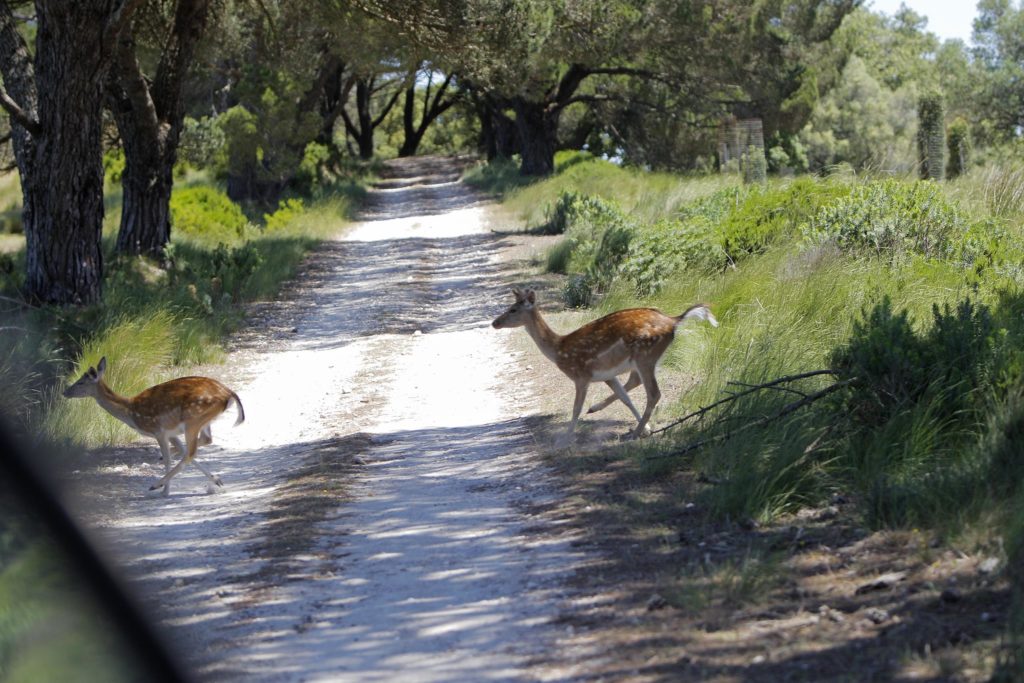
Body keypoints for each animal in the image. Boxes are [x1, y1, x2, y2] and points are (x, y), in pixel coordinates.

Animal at [63, 358, 243, 497]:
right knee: (203, 442)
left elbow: (171, 458)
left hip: (193, 419)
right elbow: (180, 451)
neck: (130, 412)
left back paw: (156, 484)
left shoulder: (158, 430)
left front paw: (165, 491)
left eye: (81, 382)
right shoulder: (171, 433)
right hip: (202, 421)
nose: (65, 392)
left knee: (191, 452)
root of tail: (229, 393)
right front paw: (216, 480)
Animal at [489, 286, 716, 444]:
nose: (495, 323)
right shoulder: (607, 375)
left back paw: (633, 434)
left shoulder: (581, 375)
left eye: (513, 309)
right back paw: (634, 425)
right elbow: (624, 398)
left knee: (654, 393)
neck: (559, 349)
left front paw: (565, 438)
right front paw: (646, 428)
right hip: (644, 359)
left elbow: (575, 408)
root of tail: (674, 321)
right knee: (637, 385)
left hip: (645, 355)